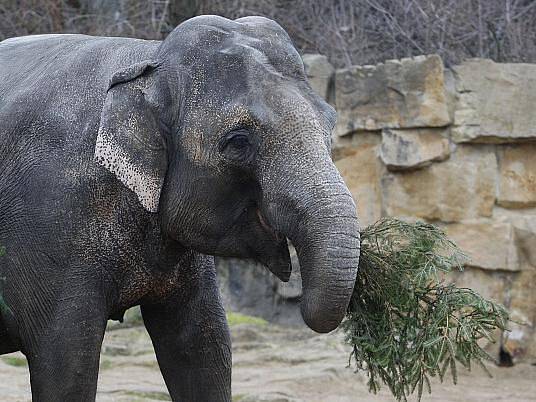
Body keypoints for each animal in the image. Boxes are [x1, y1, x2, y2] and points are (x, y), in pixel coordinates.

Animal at [0, 14, 362, 400]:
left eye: (331, 123)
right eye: (238, 142)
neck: (148, 60)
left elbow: (202, 345)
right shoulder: (48, 222)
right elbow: (64, 360)